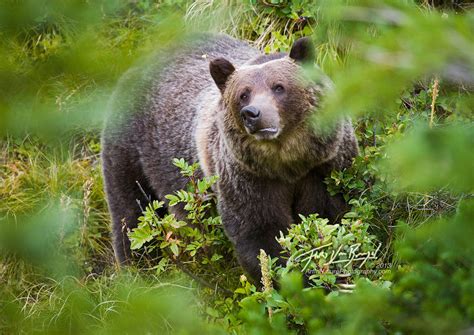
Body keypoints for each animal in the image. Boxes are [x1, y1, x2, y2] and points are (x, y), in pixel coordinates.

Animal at [102, 33, 358, 280]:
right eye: (243, 94)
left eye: (279, 87)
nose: (252, 114)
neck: (287, 162)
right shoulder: (246, 180)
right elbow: (260, 235)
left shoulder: (323, 169)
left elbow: (329, 217)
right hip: (131, 150)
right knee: (131, 213)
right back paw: (136, 272)